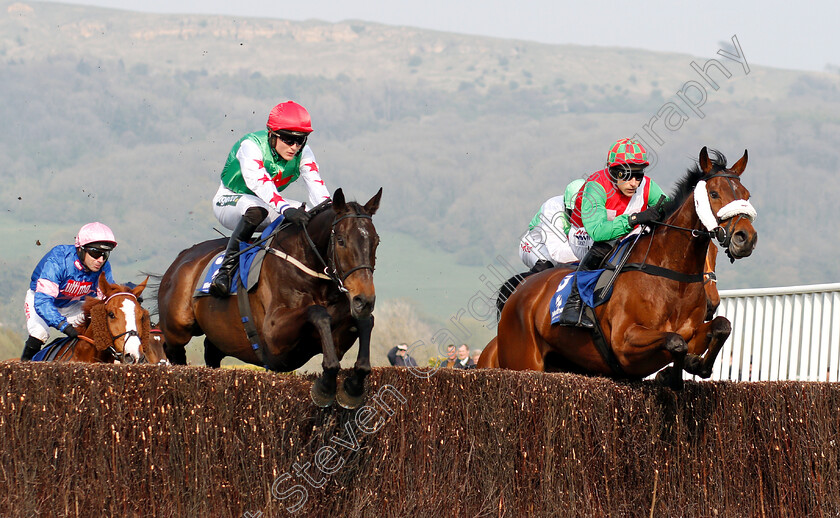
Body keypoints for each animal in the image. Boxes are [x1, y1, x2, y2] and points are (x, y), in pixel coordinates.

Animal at [156, 188, 382, 410]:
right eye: (341, 240)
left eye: (376, 241)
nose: (364, 300)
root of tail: (183, 256)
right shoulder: (274, 338)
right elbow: (318, 313)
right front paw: (325, 386)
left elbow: (365, 323)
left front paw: (353, 387)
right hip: (178, 328)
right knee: (174, 352)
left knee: (211, 353)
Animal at [492, 148, 756, 388]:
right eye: (714, 193)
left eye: (747, 194)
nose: (746, 237)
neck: (672, 278)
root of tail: (521, 290)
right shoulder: (624, 343)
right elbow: (675, 342)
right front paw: (672, 375)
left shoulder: (691, 332)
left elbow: (721, 326)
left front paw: (694, 365)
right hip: (523, 360)